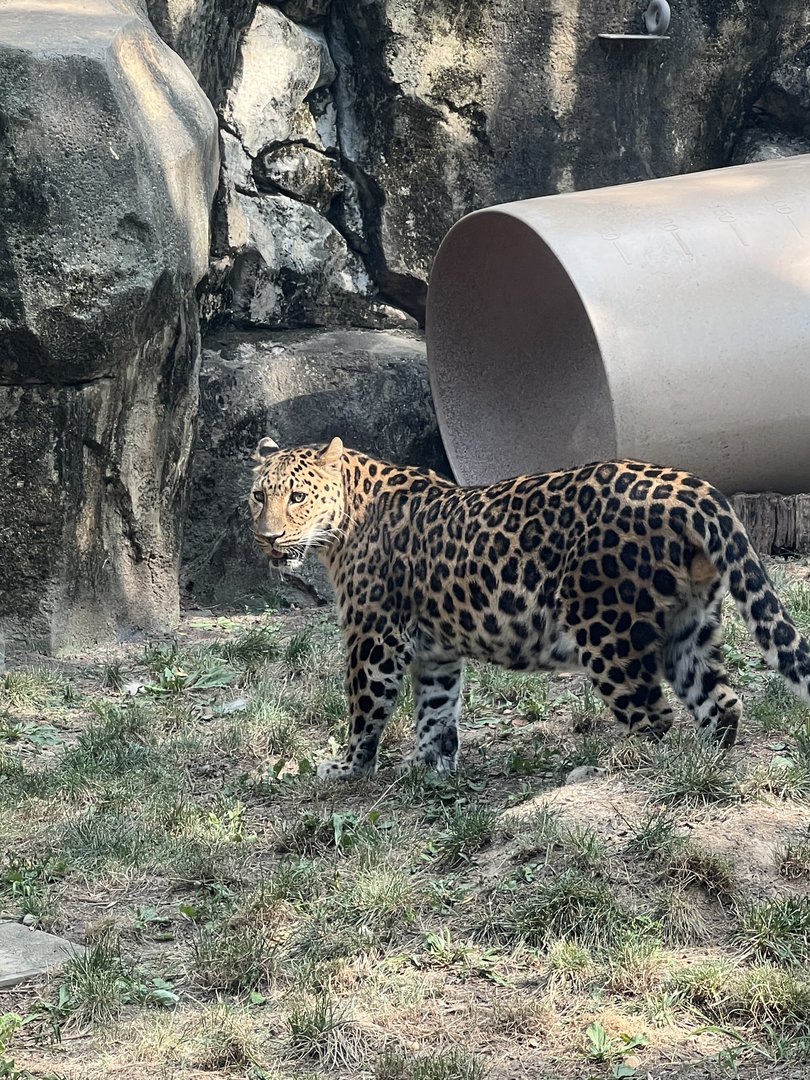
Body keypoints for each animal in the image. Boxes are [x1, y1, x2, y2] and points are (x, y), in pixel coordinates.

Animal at [249, 435, 810, 780]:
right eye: (258, 496)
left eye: (297, 497)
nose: (268, 538)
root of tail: (689, 484)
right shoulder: (436, 651)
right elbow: (436, 708)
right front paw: (430, 766)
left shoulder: (374, 639)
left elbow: (366, 709)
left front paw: (347, 768)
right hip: (688, 625)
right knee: (721, 702)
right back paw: (704, 763)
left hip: (607, 631)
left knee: (652, 718)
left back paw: (613, 768)